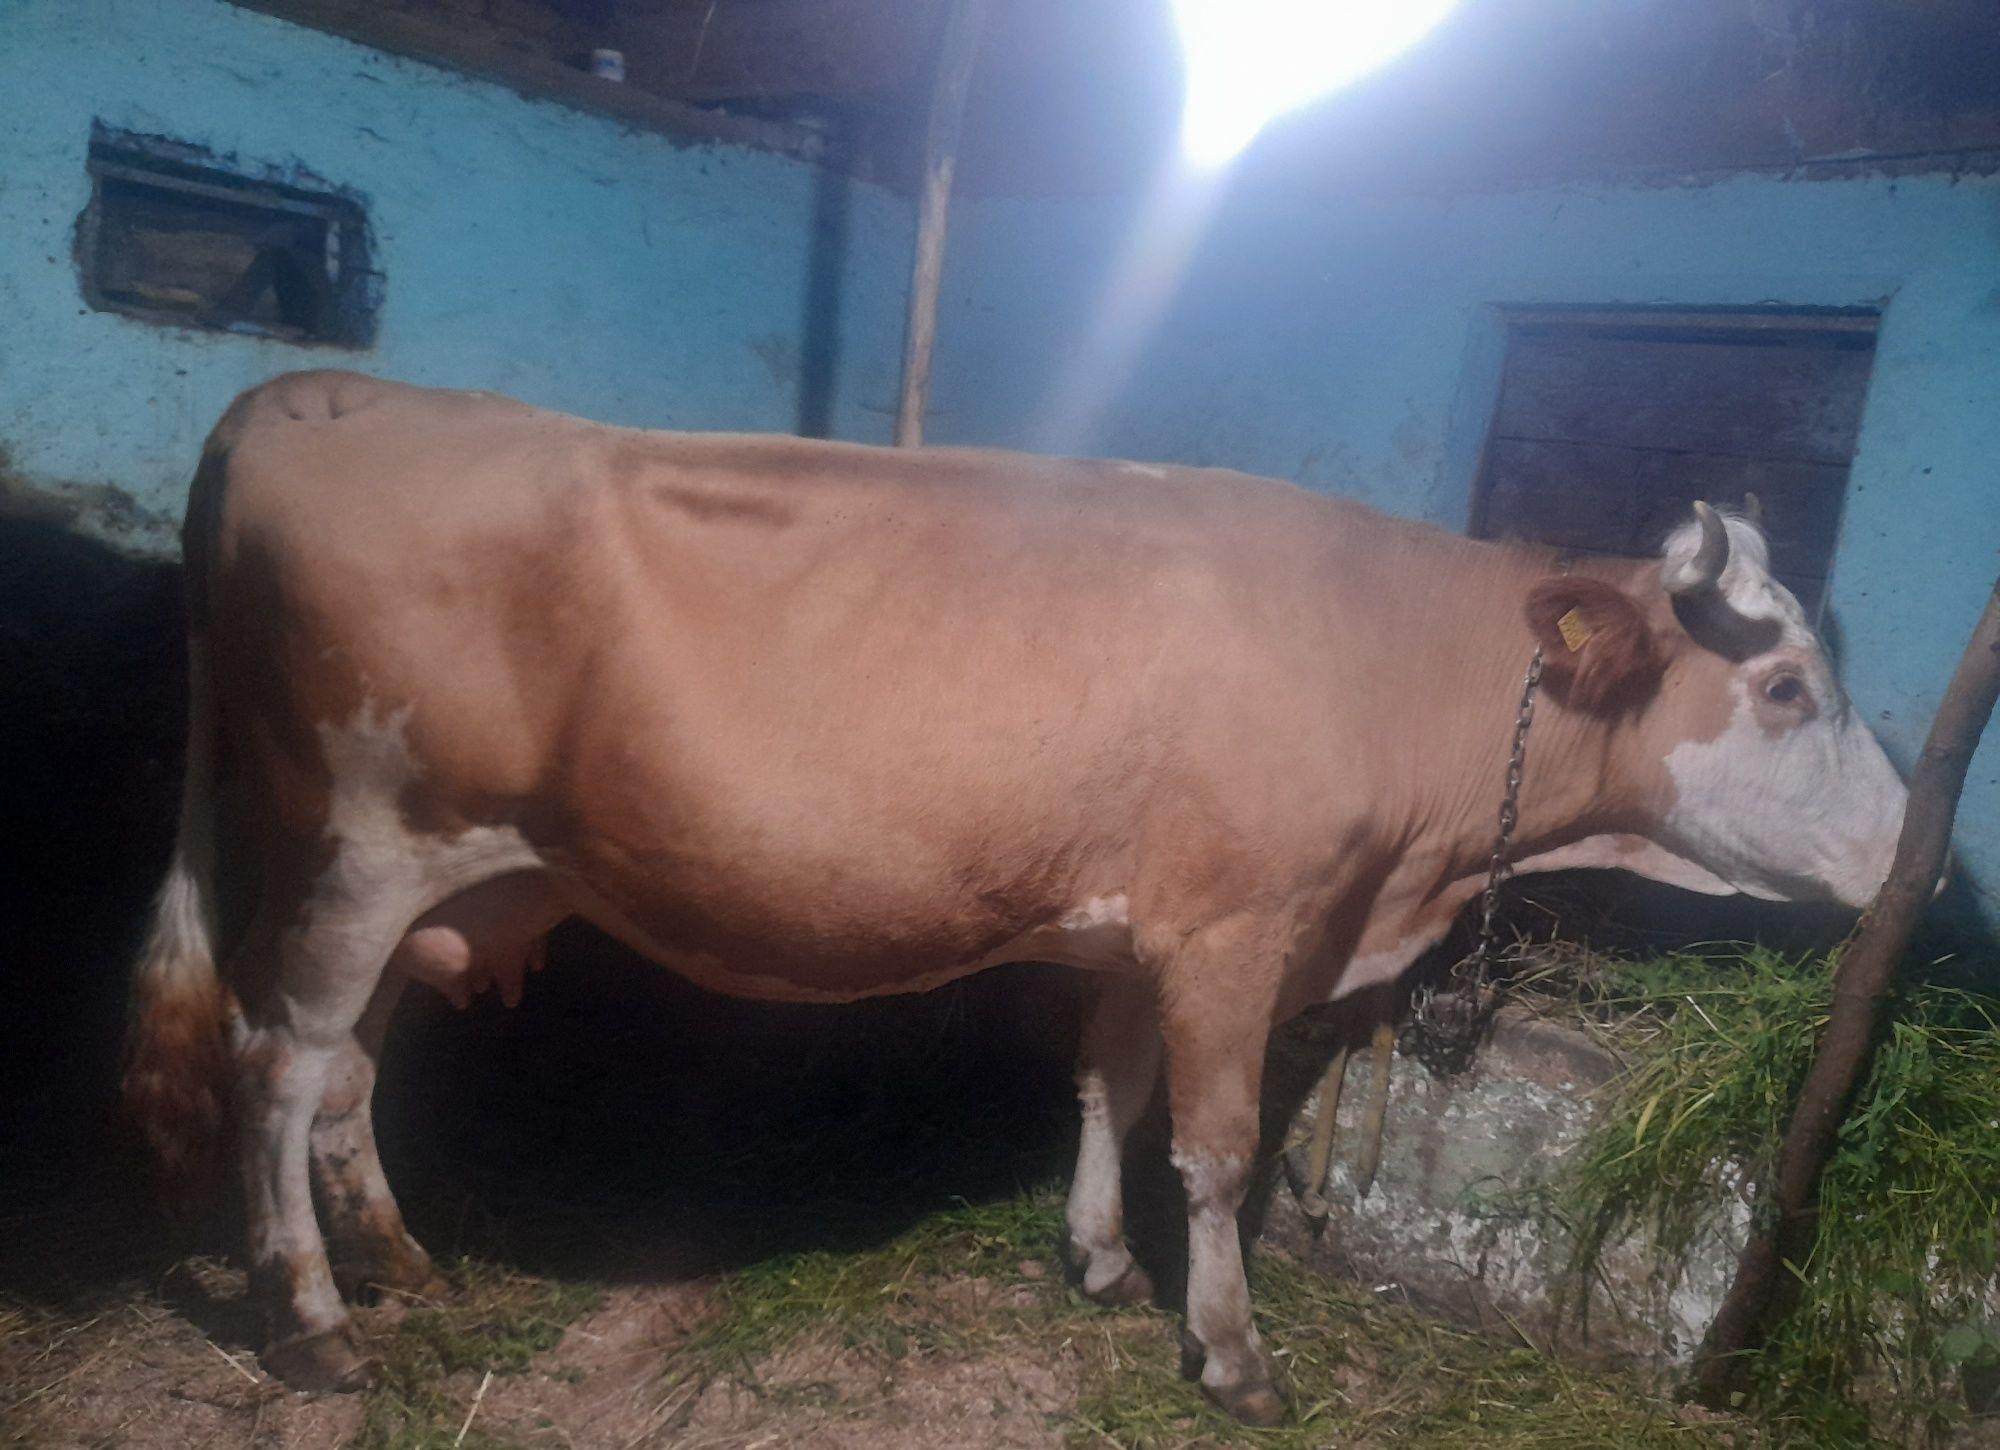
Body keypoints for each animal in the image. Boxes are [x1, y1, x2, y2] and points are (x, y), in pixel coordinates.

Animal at [124, 370, 1907, 1423]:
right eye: (1790, 689)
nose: (1919, 849)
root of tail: (322, 390)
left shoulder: (1144, 928)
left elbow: (1110, 1091)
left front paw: (1102, 1262)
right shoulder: (1243, 929)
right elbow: (1218, 1144)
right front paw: (1233, 1350)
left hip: (443, 875)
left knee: (348, 1063)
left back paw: (398, 1260)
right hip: (358, 835)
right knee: (276, 1058)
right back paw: (310, 1318)